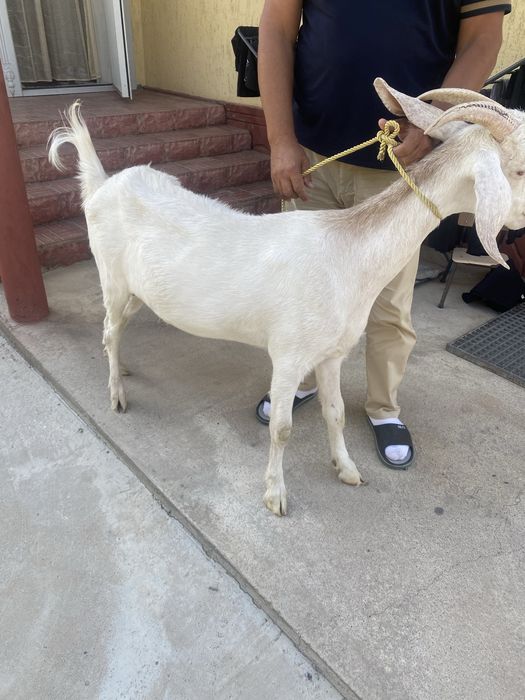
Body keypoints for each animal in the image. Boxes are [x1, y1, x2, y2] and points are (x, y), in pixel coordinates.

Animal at [48, 79, 525, 516]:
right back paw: (116, 395)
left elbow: (335, 412)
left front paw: (347, 470)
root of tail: (102, 184)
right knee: (109, 329)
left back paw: (123, 367)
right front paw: (275, 496)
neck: (346, 257)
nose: (518, 226)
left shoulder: (332, 353)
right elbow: (280, 428)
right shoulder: (289, 355)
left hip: (137, 288)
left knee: (117, 330)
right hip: (111, 278)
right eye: (519, 169)